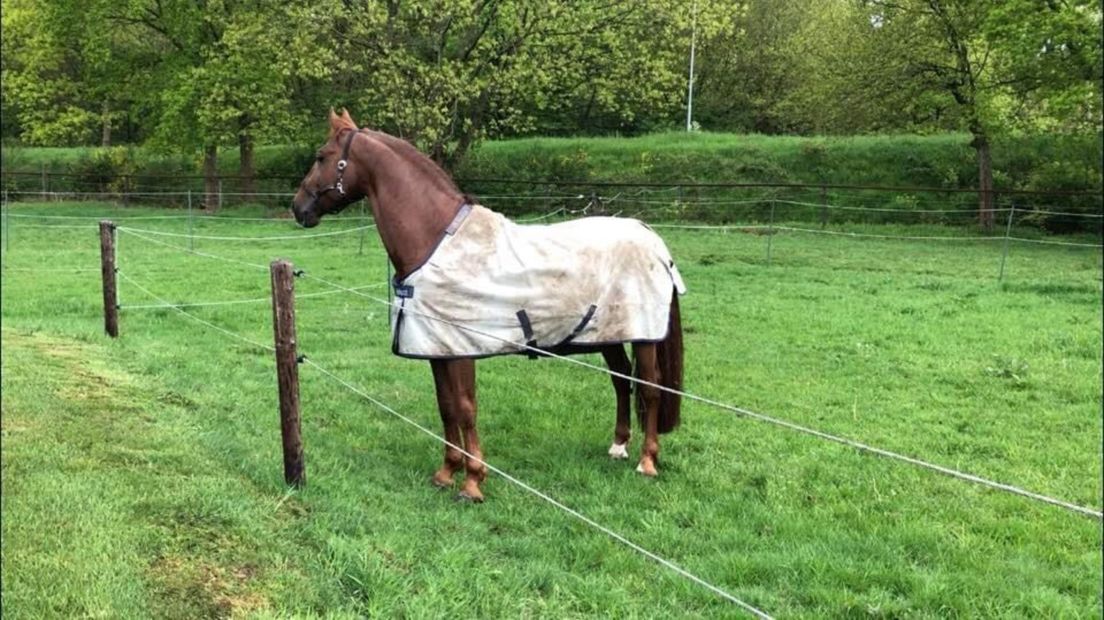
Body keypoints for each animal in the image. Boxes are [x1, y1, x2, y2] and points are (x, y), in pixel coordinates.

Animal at [298, 108, 684, 498]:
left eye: (321, 156)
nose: (297, 208)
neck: (435, 238)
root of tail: (650, 236)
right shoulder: (438, 349)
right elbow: (446, 406)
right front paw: (446, 472)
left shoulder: (461, 348)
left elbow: (466, 407)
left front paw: (472, 481)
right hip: (607, 333)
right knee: (621, 379)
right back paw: (618, 446)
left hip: (643, 335)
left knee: (649, 388)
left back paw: (647, 461)